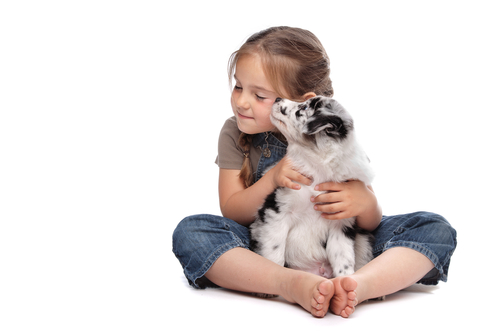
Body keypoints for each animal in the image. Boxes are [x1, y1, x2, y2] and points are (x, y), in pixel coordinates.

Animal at [250, 96, 376, 284]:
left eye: (303, 108)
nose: (277, 98)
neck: (318, 169)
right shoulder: (277, 211)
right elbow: (275, 251)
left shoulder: (341, 223)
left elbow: (343, 258)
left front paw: (344, 282)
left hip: (363, 239)